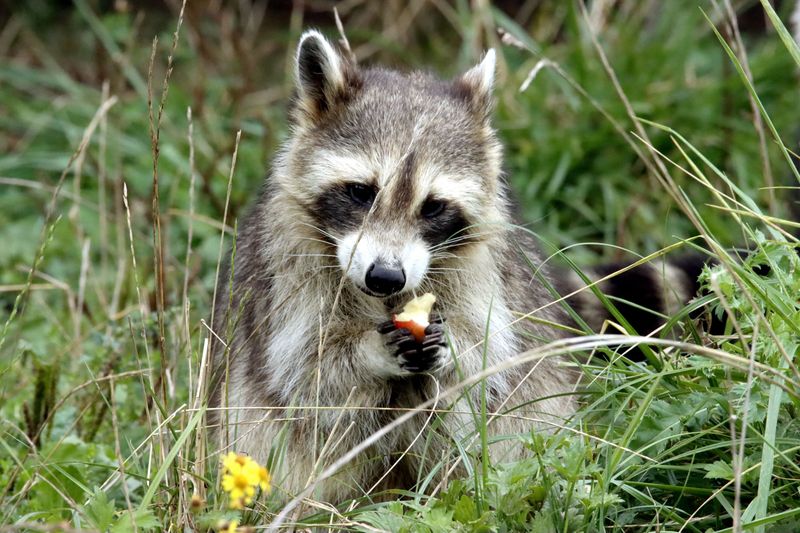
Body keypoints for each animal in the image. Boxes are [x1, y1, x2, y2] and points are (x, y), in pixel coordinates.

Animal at [209, 30, 695, 504]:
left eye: (433, 207)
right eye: (361, 192)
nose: (385, 277)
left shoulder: (483, 265)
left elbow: (489, 356)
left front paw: (455, 349)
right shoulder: (288, 268)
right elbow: (305, 371)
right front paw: (368, 351)